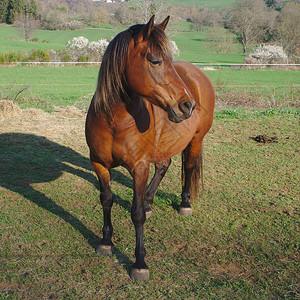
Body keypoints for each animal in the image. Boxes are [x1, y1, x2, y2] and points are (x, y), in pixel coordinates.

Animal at [85, 15, 214, 280]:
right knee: (164, 165)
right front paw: (105, 241)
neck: (114, 120)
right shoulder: (99, 164)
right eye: (155, 60)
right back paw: (149, 200)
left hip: (195, 141)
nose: (187, 105)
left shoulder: (139, 167)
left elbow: (137, 214)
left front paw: (140, 263)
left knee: (189, 166)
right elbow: (106, 199)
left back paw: (184, 204)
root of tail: (199, 75)